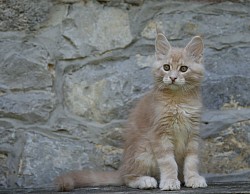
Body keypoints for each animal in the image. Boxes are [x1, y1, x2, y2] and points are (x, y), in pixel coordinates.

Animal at [55, 30, 208, 191]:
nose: (172, 78)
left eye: (183, 69)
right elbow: (168, 162)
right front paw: (170, 181)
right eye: (166, 67)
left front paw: (193, 178)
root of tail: (123, 167)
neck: (178, 100)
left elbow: (192, 161)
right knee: (127, 178)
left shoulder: (193, 133)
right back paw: (145, 181)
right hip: (143, 150)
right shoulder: (159, 133)